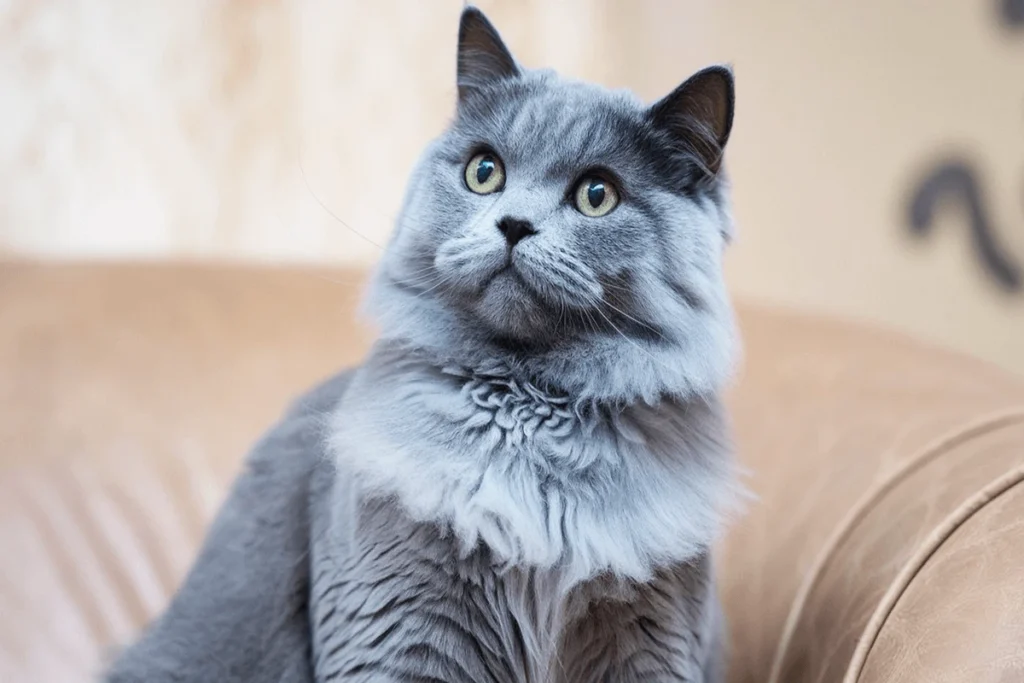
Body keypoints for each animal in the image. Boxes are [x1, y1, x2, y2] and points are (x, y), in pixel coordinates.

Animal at [103, 6, 741, 683]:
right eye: (484, 172)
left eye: (597, 195)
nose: (514, 225)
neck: (529, 414)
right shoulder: (399, 633)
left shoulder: (654, 642)